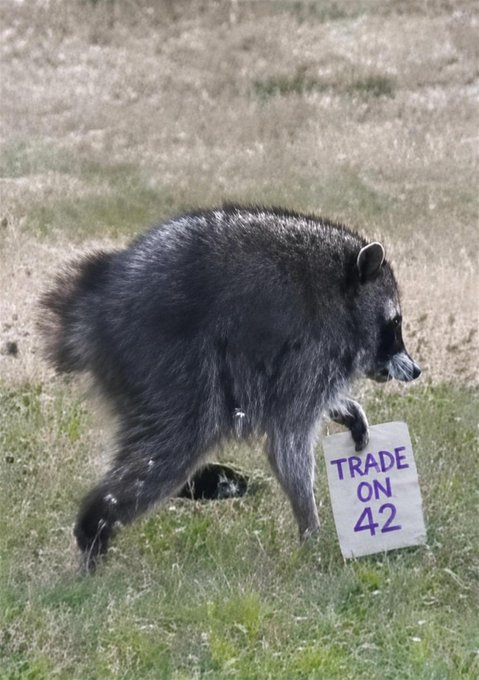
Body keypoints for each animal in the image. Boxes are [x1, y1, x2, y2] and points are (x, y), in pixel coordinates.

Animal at [39, 206, 420, 570]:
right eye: (395, 324)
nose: (416, 371)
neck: (342, 291)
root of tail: (95, 303)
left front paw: (346, 409)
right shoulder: (310, 351)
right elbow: (287, 443)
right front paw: (310, 529)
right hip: (167, 362)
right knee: (172, 446)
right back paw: (96, 523)